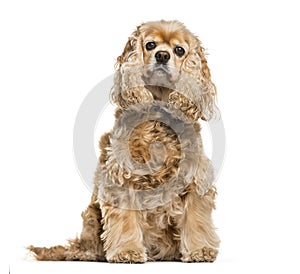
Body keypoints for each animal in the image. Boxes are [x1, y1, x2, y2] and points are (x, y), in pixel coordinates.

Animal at [28, 19, 220, 264]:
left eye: (179, 50)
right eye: (150, 45)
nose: (162, 56)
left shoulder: (195, 179)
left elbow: (196, 219)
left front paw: (200, 250)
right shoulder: (121, 178)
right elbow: (125, 220)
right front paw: (126, 251)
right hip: (91, 216)